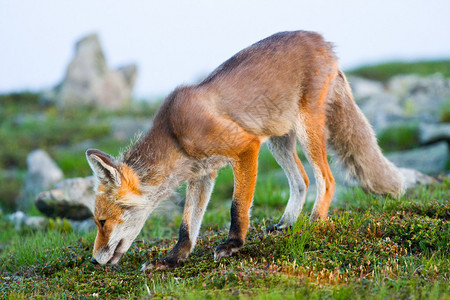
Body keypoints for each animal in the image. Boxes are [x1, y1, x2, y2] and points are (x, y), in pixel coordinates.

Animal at [85, 30, 404, 270]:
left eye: (102, 222)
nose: (94, 260)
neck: (175, 136)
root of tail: (323, 40)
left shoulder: (245, 147)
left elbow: (237, 207)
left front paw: (233, 244)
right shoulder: (203, 174)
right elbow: (187, 226)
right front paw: (173, 259)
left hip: (306, 130)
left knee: (327, 179)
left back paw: (313, 224)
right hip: (278, 139)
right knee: (302, 181)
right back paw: (287, 224)